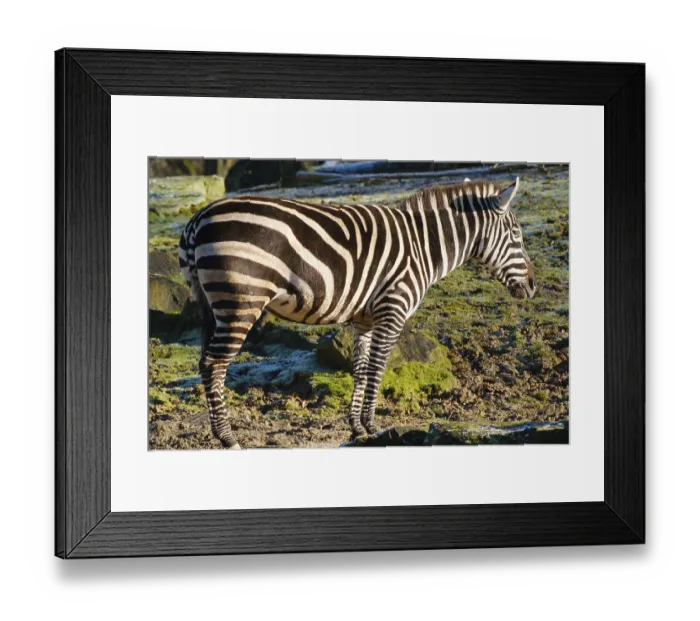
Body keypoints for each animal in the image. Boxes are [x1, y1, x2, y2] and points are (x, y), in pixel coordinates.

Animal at [179, 178, 536, 449]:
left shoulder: (365, 320)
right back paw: (227, 437)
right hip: (241, 300)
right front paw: (374, 426)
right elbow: (377, 369)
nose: (532, 287)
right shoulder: (393, 309)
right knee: (214, 365)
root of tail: (198, 218)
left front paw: (357, 428)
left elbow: (362, 370)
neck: (423, 246)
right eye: (517, 235)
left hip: (209, 305)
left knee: (205, 362)